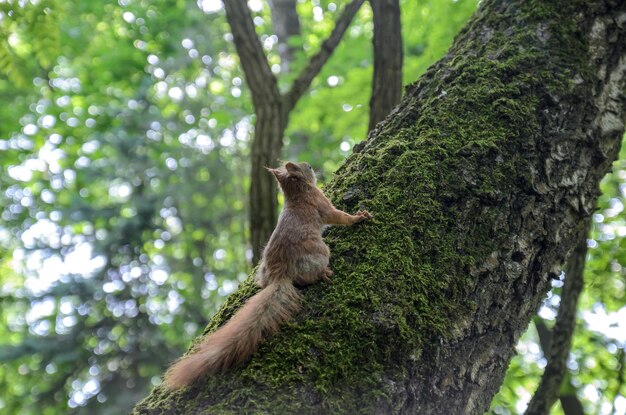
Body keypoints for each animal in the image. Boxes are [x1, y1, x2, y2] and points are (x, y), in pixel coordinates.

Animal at [162, 162, 370, 390]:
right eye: (306, 167)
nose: (312, 167)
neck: (297, 193)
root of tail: (280, 275)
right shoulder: (321, 203)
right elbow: (338, 216)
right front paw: (358, 217)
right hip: (320, 252)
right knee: (309, 275)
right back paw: (323, 273)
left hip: (262, 270)